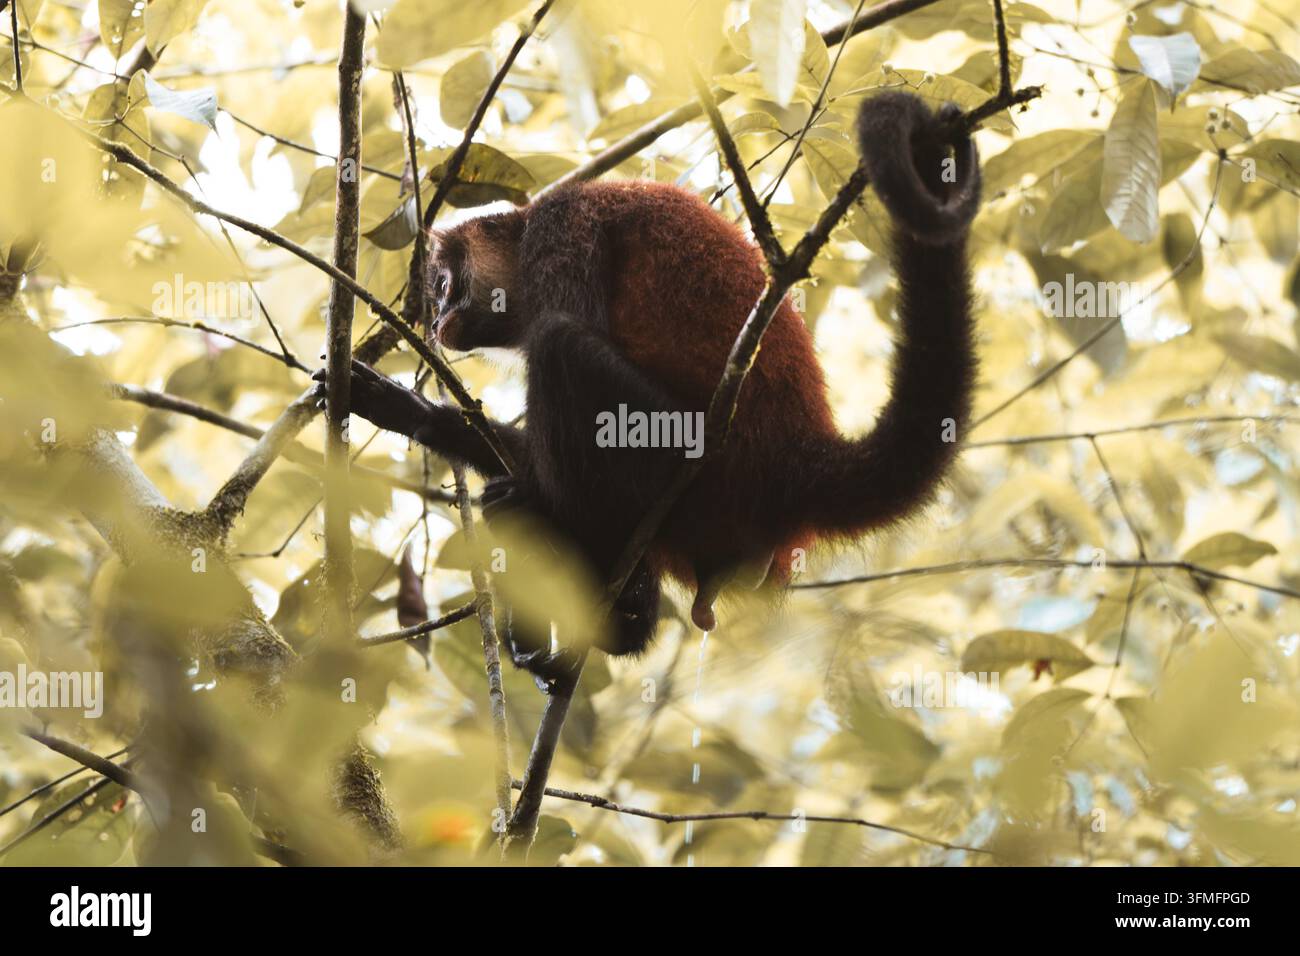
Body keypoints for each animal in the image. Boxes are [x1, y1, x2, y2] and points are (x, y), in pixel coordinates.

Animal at [315, 91, 981, 687]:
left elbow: (565, 334)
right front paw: (402, 408)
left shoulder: (562, 232)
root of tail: (798, 456)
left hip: (698, 460)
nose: (438, 321)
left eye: (443, 286)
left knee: (561, 344)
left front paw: (532, 500)